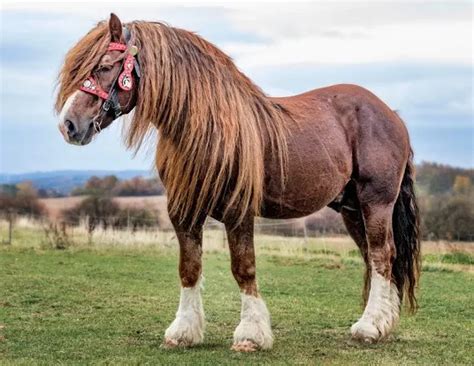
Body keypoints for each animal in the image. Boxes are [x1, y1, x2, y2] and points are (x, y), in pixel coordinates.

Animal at [56, 13, 422, 352]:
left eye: (105, 66)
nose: (68, 125)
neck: (206, 127)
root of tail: (391, 114)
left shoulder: (238, 211)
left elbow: (244, 268)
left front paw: (250, 335)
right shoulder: (183, 212)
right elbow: (189, 268)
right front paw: (183, 332)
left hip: (376, 202)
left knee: (381, 255)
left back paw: (370, 327)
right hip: (351, 208)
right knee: (376, 257)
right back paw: (383, 323)